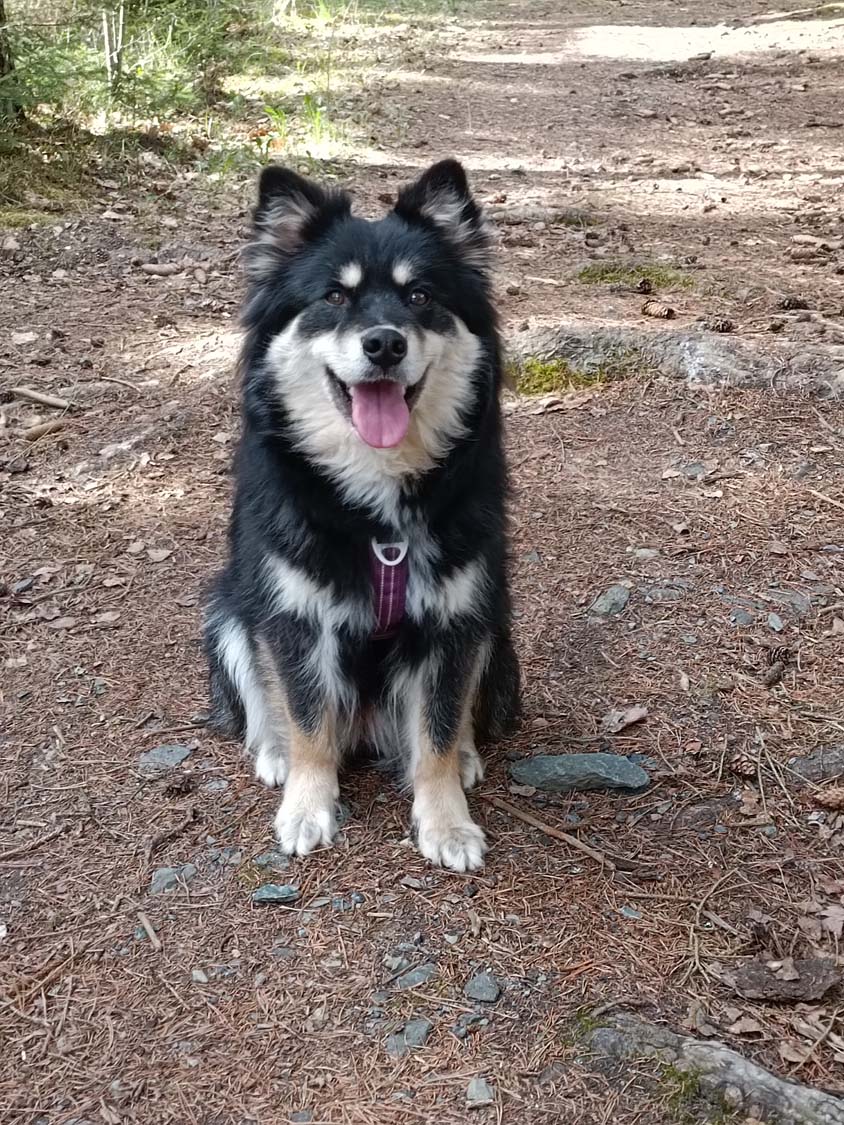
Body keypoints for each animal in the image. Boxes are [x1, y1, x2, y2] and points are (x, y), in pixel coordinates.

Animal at [203, 158, 520, 872]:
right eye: (334, 298)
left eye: (420, 296)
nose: (384, 344)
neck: (380, 517)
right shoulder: (294, 617)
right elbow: (308, 719)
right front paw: (306, 806)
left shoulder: (454, 621)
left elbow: (436, 729)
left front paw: (446, 823)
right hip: (228, 612)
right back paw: (274, 752)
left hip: (495, 623)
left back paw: (466, 755)